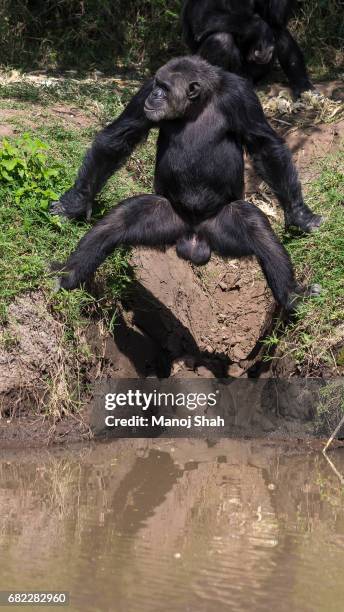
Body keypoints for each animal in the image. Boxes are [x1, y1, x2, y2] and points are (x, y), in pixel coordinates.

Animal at [51, 56, 322, 310]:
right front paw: (75, 203)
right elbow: (120, 137)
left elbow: (264, 147)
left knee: (256, 227)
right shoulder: (144, 91)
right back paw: (67, 274)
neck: (197, 105)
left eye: (165, 88)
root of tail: (193, 235)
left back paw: (292, 294)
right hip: (164, 218)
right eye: (157, 85)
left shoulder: (242, 96)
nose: (155, 95)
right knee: (119, 221)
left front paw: (300, 216)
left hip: (222, 225)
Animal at [183, 0, 314, 97]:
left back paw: (303, 86)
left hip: (258, 71)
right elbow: (203, 16)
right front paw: (262, 28)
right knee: (221, 39)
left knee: (278, 30)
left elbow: (274, 17)